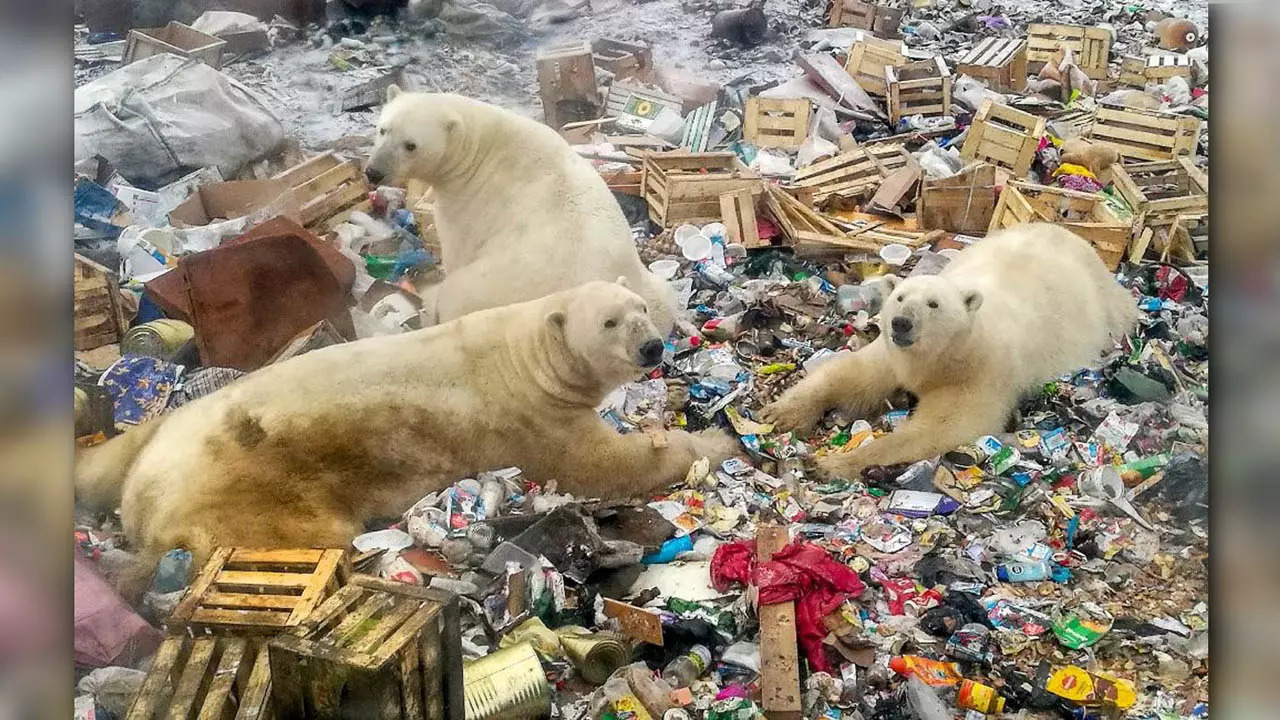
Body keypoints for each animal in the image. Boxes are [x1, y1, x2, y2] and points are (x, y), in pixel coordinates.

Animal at [74, 279, 737, 594]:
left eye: (640, 308)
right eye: (608, 322)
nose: (651, 347)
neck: (528, 357)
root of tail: (144, 503)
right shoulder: (531, 419)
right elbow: (602, 465)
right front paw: (716, 446)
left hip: (160, 431)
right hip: (247, 494)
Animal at [363, 89, 680, 333]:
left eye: (411, 145)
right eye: (382, 129)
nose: (374, 172)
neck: (479, 144)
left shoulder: (468, 199)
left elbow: (457, 249)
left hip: (487, 289)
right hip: (650, 287)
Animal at [752, 221, 1136, 474]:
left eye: (933, 304)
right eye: (900, 297)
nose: (901, 323)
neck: (941, 358)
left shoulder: (979, 373)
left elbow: (943, 426)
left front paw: (836, 462)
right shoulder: (892, 355)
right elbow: (849, 374)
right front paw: (780, 414)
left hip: (1106, 309)